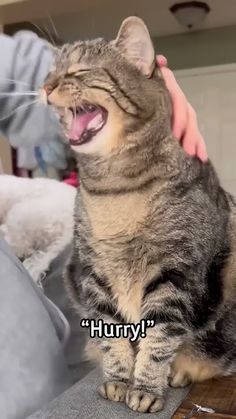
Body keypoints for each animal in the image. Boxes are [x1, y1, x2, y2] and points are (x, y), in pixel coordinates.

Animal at [42, 16, 236, 414]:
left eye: (79, 71)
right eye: (51, 72)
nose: (45, 86)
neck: (113, 187)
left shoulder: (175, 274)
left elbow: (159, 339)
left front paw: (147, 388)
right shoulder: (94, 274)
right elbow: (112, 335)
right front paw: (119, 380)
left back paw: (180, 372)